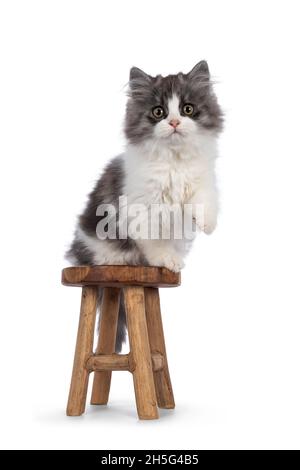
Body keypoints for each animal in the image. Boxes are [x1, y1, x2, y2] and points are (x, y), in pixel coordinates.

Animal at [67, 60, 224, 350]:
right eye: (158, 112)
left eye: (187, 109)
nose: (174, 122)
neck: (174, 160)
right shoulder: (142, 207)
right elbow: (154, 239)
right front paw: (167, 259)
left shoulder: (202, 180)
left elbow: (205, 199)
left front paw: (207, 222)